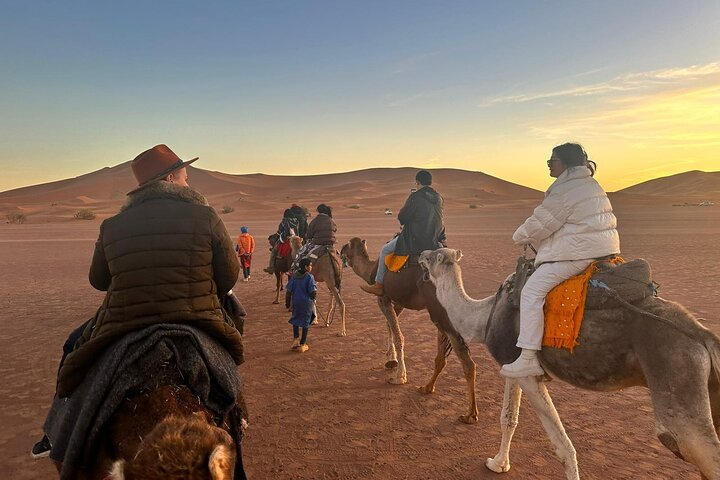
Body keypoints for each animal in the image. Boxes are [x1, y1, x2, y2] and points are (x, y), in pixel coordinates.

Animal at [340, 237, 480, 424]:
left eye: (348, 245)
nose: (340, 250)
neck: (371, 269)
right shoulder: (398, 301)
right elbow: (390, 327)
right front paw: (391, 359)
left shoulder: (382, 297)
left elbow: (398, 334)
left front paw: (399, 376)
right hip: (440, 313)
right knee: (442, 357)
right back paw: (427, 387)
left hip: (439, 312)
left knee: (467, 361)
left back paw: (470, 414)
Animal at [420, 248, 720, 480]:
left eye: (435, 255)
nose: (421, 254)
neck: (483, 317)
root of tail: (702, 335)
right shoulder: (511, 366)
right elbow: (508, 418)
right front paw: (498, 464)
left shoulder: (530, 375)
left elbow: (563, 446)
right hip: (707, 385)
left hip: (676, 369)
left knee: (687, 443)